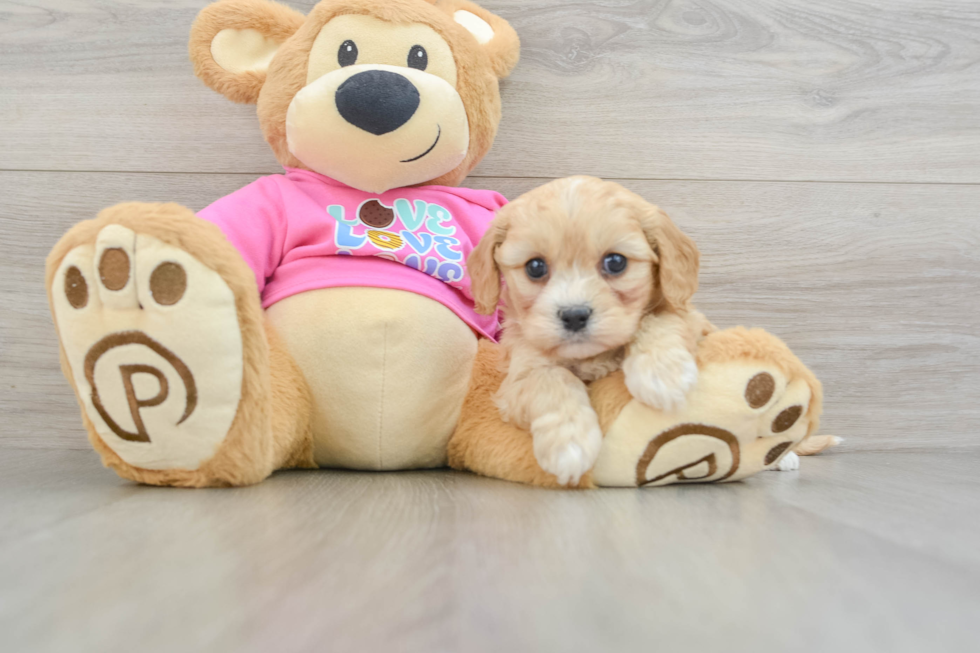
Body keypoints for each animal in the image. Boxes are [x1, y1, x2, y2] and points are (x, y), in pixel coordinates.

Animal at [468, 176, 708, 482]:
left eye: (616, 262)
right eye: (535, 267)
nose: (574, 315)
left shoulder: (697, 321)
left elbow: (662, 317)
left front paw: (662, 373)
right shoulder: (517, 379)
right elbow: (551, 378)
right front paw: (569, 442)